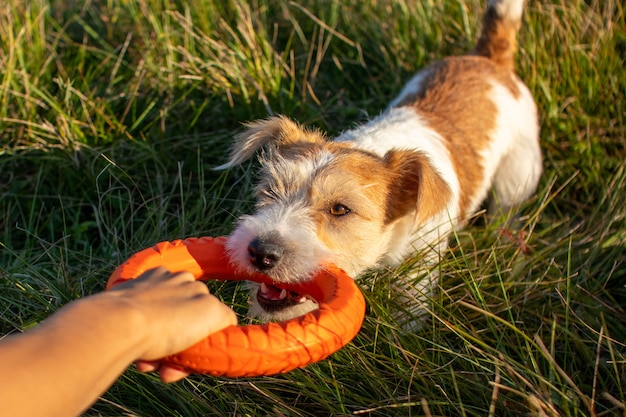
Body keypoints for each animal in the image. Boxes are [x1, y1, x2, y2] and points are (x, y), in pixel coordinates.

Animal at [217, 0, 540, 322]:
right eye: (270, 191)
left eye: (340, 209)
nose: (260, 252)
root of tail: (489, 59)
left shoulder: (418, 267)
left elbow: (408, 312)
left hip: (517, 175)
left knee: (508, 211)